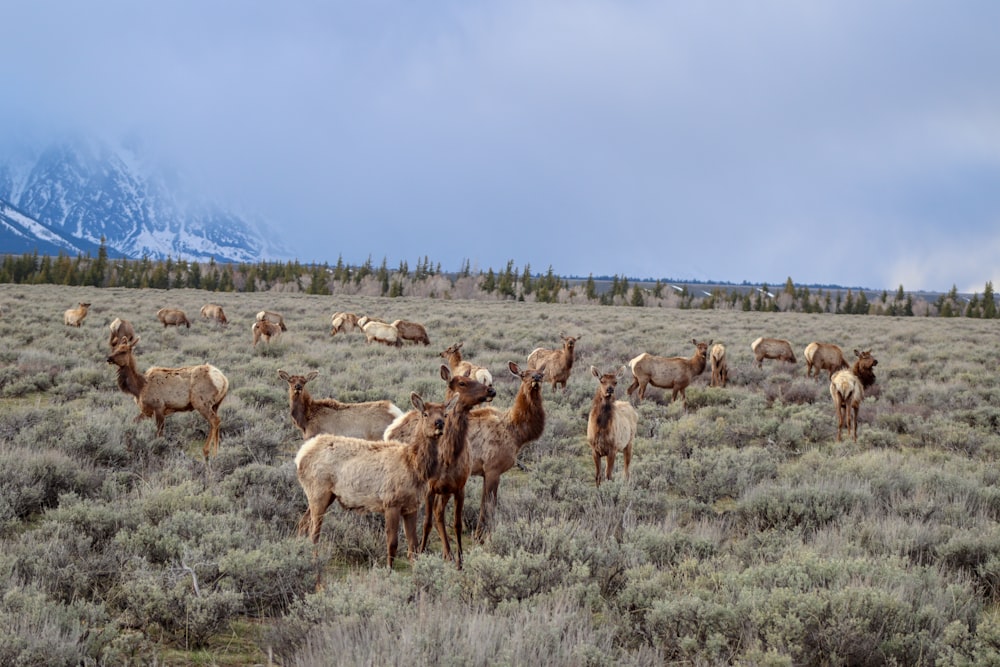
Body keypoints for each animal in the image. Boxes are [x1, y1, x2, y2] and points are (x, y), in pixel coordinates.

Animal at [292, 394, 450, 572]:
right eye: (425, 414)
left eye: (445, 414)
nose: (439, 424)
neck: (415, 467)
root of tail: (300, 456)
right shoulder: (391, 503)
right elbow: (392, 544)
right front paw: (388, 571)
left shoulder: (411, 507)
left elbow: (413, 548)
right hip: (318, 493)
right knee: (314, 533)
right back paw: (314, 563)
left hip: (326, 496)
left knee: (304, 524)